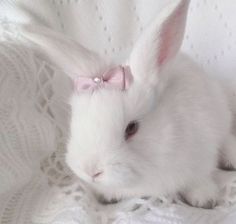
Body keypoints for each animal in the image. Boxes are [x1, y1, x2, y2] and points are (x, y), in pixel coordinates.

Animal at [21, 0, 236, 208]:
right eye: (74, 122)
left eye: (132, 128)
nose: (91, 171)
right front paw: (107, 197)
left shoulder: (201, 156)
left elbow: (199, 180)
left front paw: (205, 199)